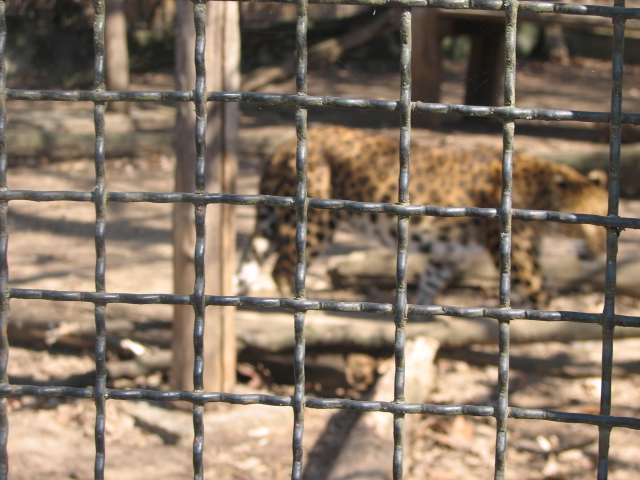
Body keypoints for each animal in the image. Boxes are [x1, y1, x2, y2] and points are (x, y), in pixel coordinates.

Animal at [238, 126, 608, 308]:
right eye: (589, 225)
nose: (601, 254)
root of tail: (283, 145)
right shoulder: (519, 259)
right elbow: (544, 295)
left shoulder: (448, 253)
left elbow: (429, 284)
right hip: (315, 222)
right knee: (282, 267)